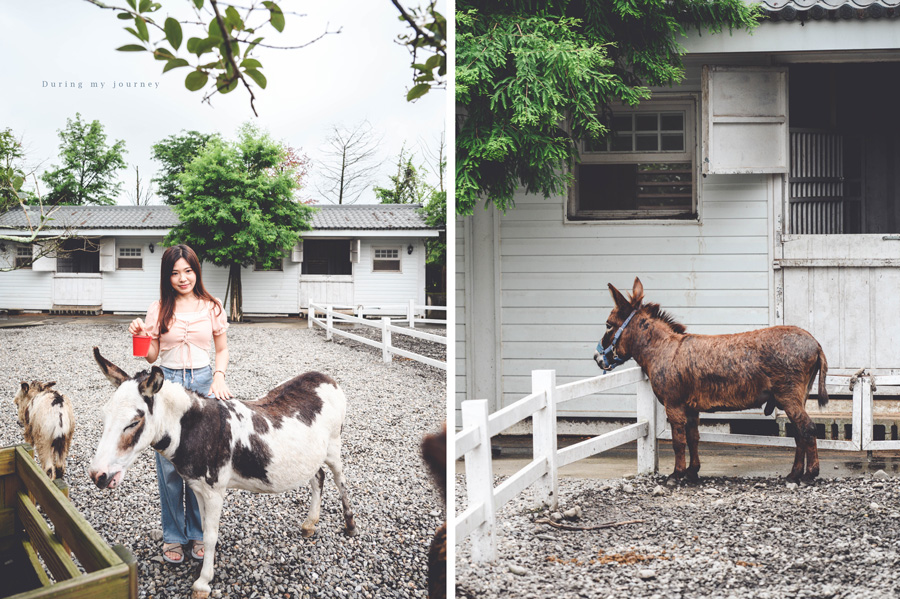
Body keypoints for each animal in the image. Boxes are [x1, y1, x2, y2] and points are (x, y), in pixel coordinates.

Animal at [89, 350, 356, 596]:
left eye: (133, 423)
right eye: (104, 416)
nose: (97, 475)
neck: (194, 428)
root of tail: (324, 377)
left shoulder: (214, 491)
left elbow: (210, 536)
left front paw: (203, 583)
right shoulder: (198, 488)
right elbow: (204, 529)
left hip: (334, 447)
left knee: (340, 480)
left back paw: (350, 525)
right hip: (309, 456)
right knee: (318, 478)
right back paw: (310, 524)